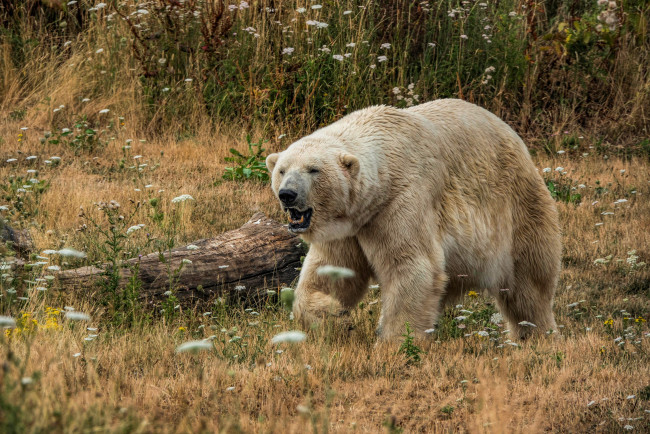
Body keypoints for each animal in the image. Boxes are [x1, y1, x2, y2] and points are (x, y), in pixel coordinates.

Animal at [266, 100, 560, 340]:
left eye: (313, 170)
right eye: (282, 170)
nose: (287, 194)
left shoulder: (400, 201)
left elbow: (412, 266)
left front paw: (394, 342)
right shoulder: (347, 225)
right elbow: (331, 269)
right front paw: (333, 313)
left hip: (517, 205)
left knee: (528, 280)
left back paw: (536, 333)